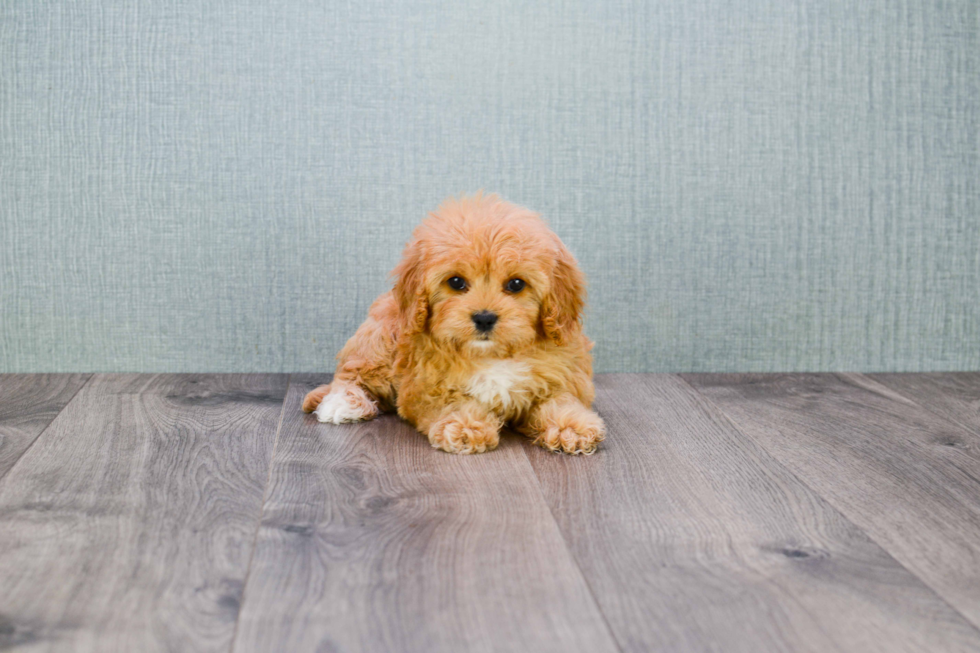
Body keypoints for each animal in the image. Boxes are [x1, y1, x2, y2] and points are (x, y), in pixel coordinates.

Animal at [302, 194, 600, 454]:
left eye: (516, 284)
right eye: (456, 282)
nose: (484, 317)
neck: (492, 354)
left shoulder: (561, 375)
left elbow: (560, 399)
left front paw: (571, 426)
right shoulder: (424, 386)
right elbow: (452, 401)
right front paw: (465, 425)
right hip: (379, 340)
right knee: (353, 373)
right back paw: (343, 403)